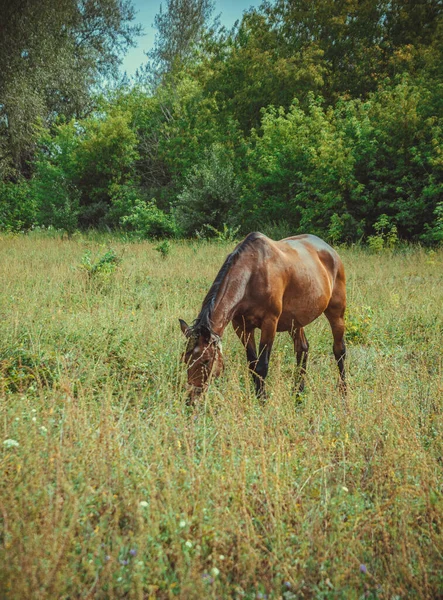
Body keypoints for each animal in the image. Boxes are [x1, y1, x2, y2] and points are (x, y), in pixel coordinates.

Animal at [180, 233, 346, 404]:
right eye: (185, 359)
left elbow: (262, 366)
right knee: (302, 349)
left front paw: (263, 402)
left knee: (339, 350)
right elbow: (252, 364)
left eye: (206, 360)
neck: (252, 275)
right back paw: (297, 395)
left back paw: (343, 394)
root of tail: (330, 251)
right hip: (295, 322)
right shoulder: (242, 327)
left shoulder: (269, 323)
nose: (190, 400)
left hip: (336, 313)